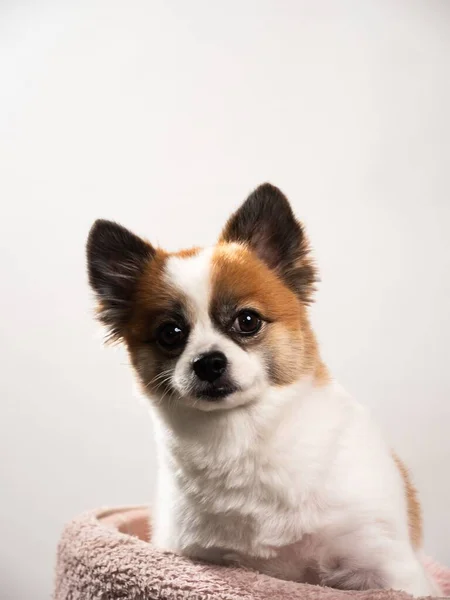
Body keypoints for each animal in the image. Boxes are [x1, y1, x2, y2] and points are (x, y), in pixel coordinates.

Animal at [87, 183, 440, 596]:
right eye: (170, 333)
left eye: (248, 320)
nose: (208, 362)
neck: (243, 437)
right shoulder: (198, 554)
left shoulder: (383, 565)